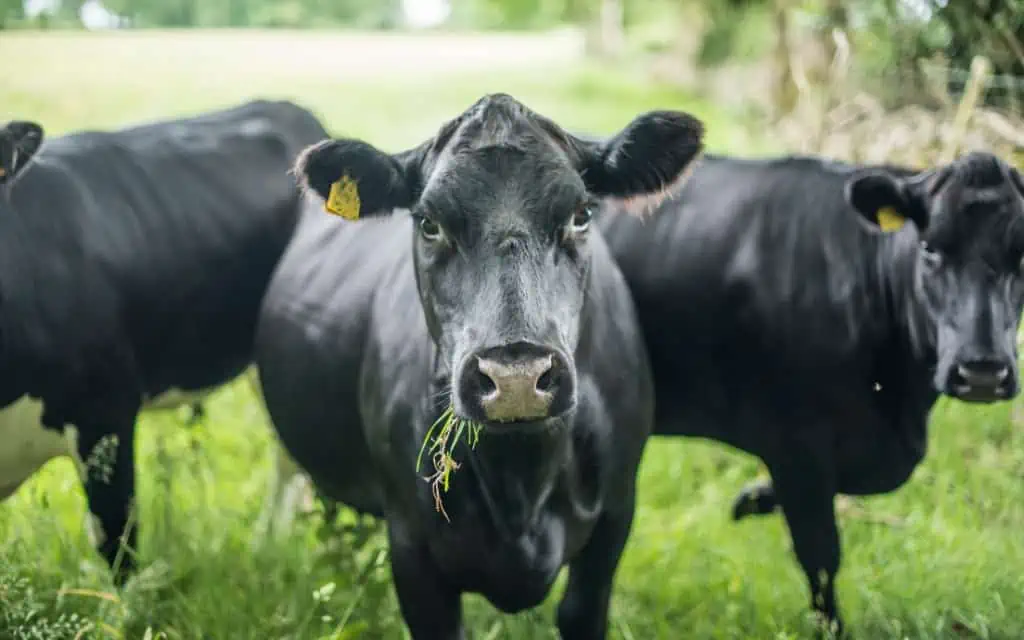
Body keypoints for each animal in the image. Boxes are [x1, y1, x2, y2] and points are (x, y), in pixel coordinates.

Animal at [254, 92, 704, 634]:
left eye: (581, 214)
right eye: (429, 223)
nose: (517, 378)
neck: (520, 492)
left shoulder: (616, 516)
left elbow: (579, 610)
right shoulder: (411, 546)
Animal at [598, 150, 1024, 634]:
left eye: (1022, 254)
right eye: (930, 247)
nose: (983, 371)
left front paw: (755, 498)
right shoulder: (796, 442)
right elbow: (820, 556)